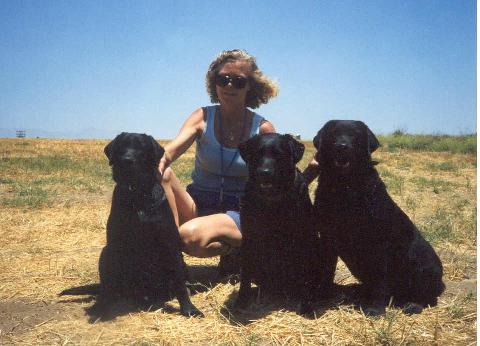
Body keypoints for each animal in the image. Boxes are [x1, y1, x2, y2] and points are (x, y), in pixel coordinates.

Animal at [97, 133, 202, 318]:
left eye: (142, 147)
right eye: (121, 145)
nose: (126, 160)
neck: (138, 195)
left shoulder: (170, 244)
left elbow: (179, 283)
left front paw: (189, 308)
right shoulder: (116, 244)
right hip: (106, 252)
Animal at [235, 132, 320, 314]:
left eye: (278, 154)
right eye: (257, 154)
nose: (264, 172)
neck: (272, 202)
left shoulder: (303, 238)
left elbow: (305, 275)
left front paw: (307, 305)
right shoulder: (249, 237)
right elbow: (245, 274)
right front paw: (241, 300)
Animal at [314, 120, 444, 314]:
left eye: (355, 134)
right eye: (333, 133)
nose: (342, 146)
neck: (345, 186)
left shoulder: (379, 245)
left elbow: (380, 281)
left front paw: (375, 309)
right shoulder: (327, 238)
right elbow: (326, 270)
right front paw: (321, 296)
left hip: (422, 264)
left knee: (427, 296)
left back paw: (413, 304)